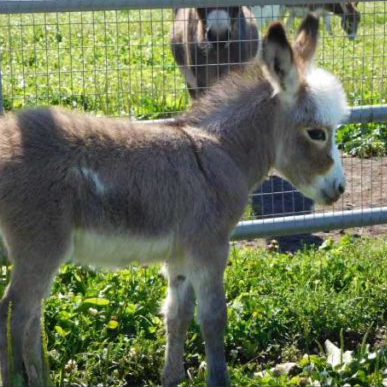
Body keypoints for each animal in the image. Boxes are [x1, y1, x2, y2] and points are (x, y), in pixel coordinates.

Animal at [0, 16, 348, 387]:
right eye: (317, 133)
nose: (340, 188)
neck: (222, 152)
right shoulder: (210, 248)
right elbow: (213, 319)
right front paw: (217, 379)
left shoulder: (180, 255)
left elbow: (177, 316)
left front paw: (172, 376)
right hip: (40, 246)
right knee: (14, 314)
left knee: (28, 317)